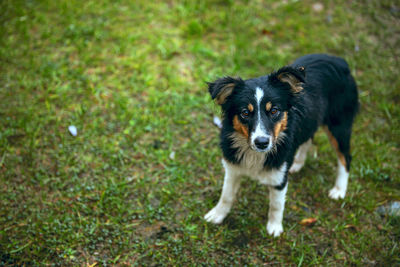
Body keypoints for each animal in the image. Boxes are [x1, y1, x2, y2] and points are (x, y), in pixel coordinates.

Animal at [205, 53, 358, 238]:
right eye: (245, 113)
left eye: (274, 111)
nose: (262, 143)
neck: (254, 153)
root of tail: (339, 60)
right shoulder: (233, 167)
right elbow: (226, 195)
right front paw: (217, 215)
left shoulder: (279, 177)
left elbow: (276, 205)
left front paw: (274, 227)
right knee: (308, 139)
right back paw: (298, 163)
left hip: (339, 126)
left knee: (345, 158)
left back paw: (339, 190)